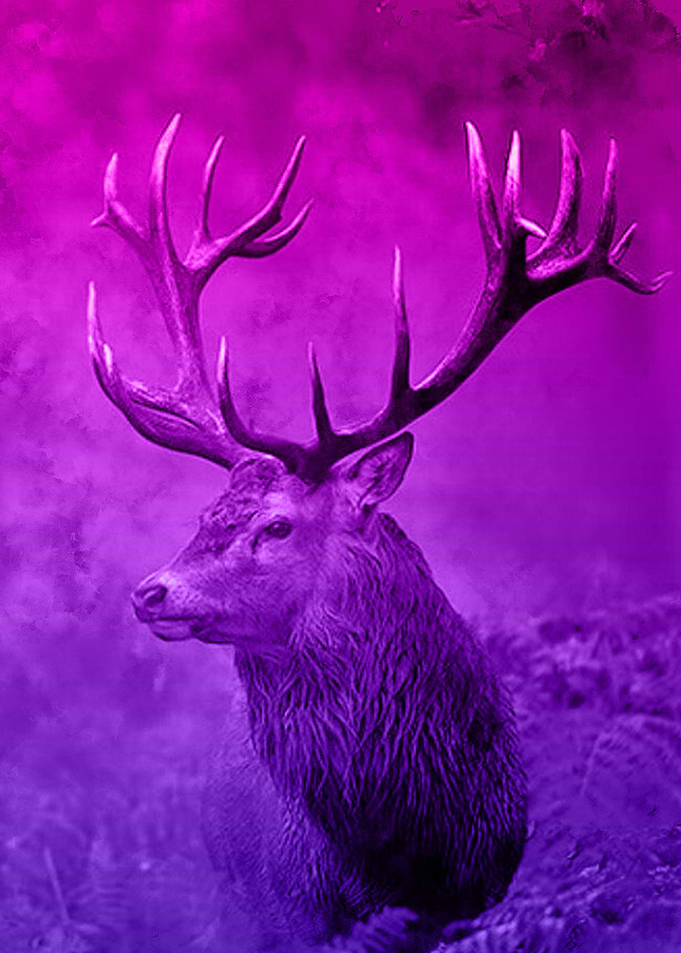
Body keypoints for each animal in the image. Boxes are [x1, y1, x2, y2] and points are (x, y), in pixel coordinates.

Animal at [86, 115, 669, 952]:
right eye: (204, 516)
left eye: (277, 525)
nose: (150, 592)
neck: (396, 846)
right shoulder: (285, 910)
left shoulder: (480, 891)